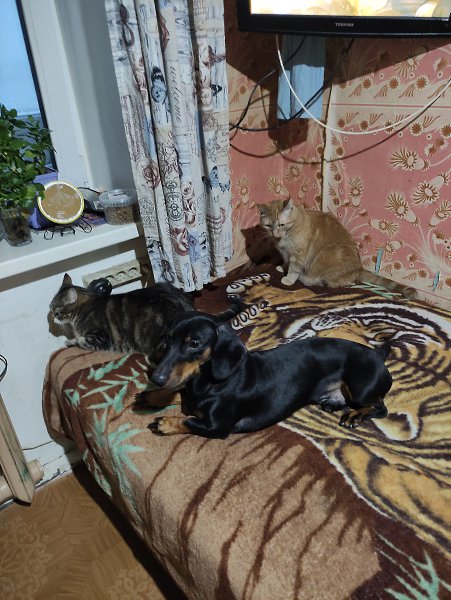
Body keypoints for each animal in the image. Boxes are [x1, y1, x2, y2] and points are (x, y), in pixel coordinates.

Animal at [147, 311, 393, 439]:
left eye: (194, 343)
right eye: (168, 338)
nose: (156, 378)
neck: (208, 383)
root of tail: (377, 353)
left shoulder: (217, 427)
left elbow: (188, 421)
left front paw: (165, 423)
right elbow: (178, 389)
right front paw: (153, 396)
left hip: (361, 389)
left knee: (380, 407)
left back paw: (354, 416)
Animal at [258, 198, 417, 299]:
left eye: (281, 225)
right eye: (268, 225)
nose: (274, 233)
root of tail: (359, 268)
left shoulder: (298, 255)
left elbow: (293, 269)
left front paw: (288, 279)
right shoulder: (285, 253)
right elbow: (286, 262)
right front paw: (282, 268)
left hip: (326, 257)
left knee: (336, 282)